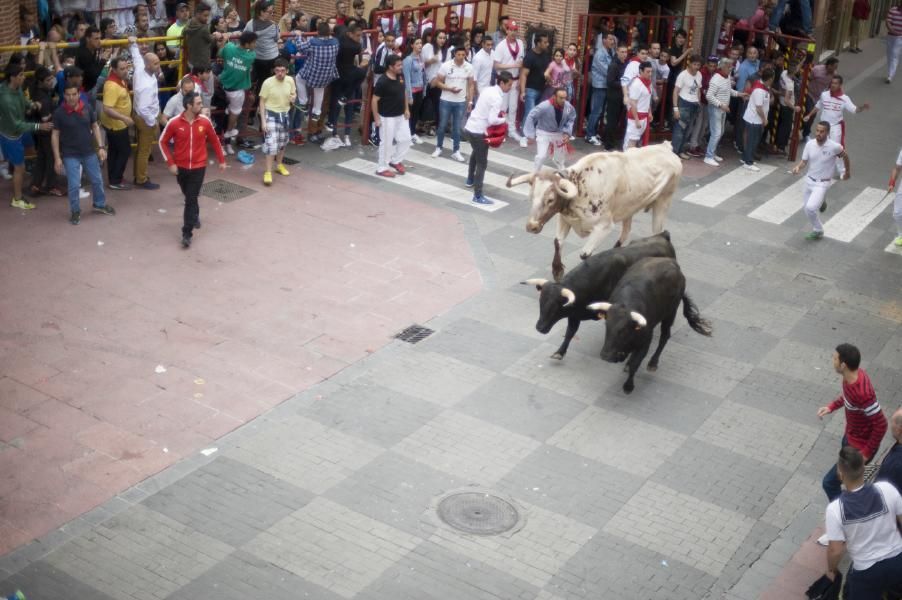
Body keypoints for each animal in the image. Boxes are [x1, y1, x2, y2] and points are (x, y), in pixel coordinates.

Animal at [504, 142, 680, 282]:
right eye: (531, 196)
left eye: (550, 200)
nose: (531, 226)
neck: (581, 187)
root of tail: (666, 147)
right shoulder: (564, 219)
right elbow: (557, 242)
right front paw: (557, 270)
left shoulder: (604, 227)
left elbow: (584, 254)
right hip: (629, 208)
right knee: (626, 232)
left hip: (663, 202)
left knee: (657, 231)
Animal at [524, 232, 680, 358]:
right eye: (541, 302)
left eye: (557, 306)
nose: (539, 327)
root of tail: (662, 236)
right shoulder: (575, 314)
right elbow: (570, 333)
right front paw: (559, 353)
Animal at [588, 256, 716, 394]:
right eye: (606, 325)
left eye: (623, 330)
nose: (605, 355)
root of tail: (672, 263)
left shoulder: (646, 341)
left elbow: (635, 363)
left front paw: (628, 386)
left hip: (670, 313)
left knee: (665, 336)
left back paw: (653, 363)